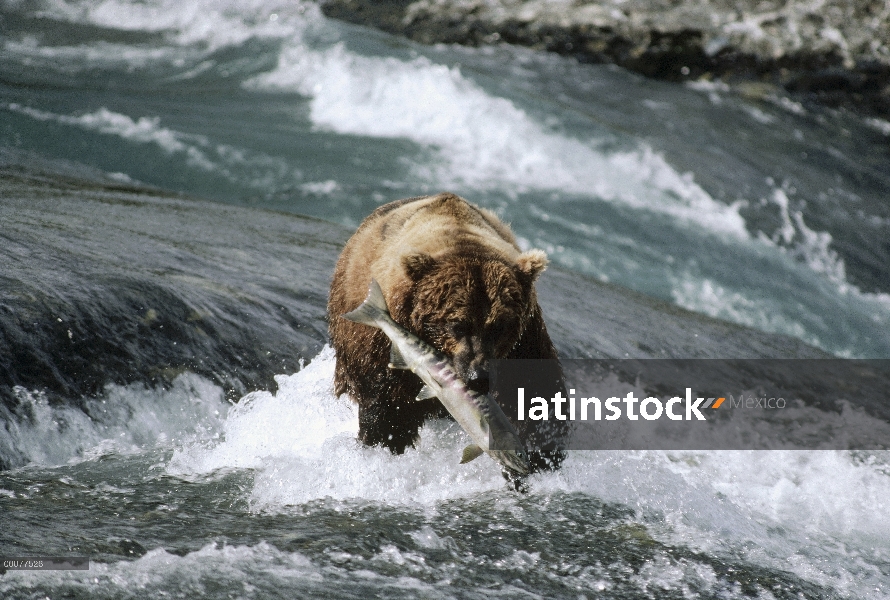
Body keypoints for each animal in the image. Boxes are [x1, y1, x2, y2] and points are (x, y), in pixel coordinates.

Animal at [330, 192, 564, 474]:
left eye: (499, 326)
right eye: (458, 325)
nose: (478, 378)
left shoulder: (525, 342)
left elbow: (536, 397)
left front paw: (540, 459)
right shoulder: (379, 346)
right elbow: (387, 408)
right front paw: (387, 442)